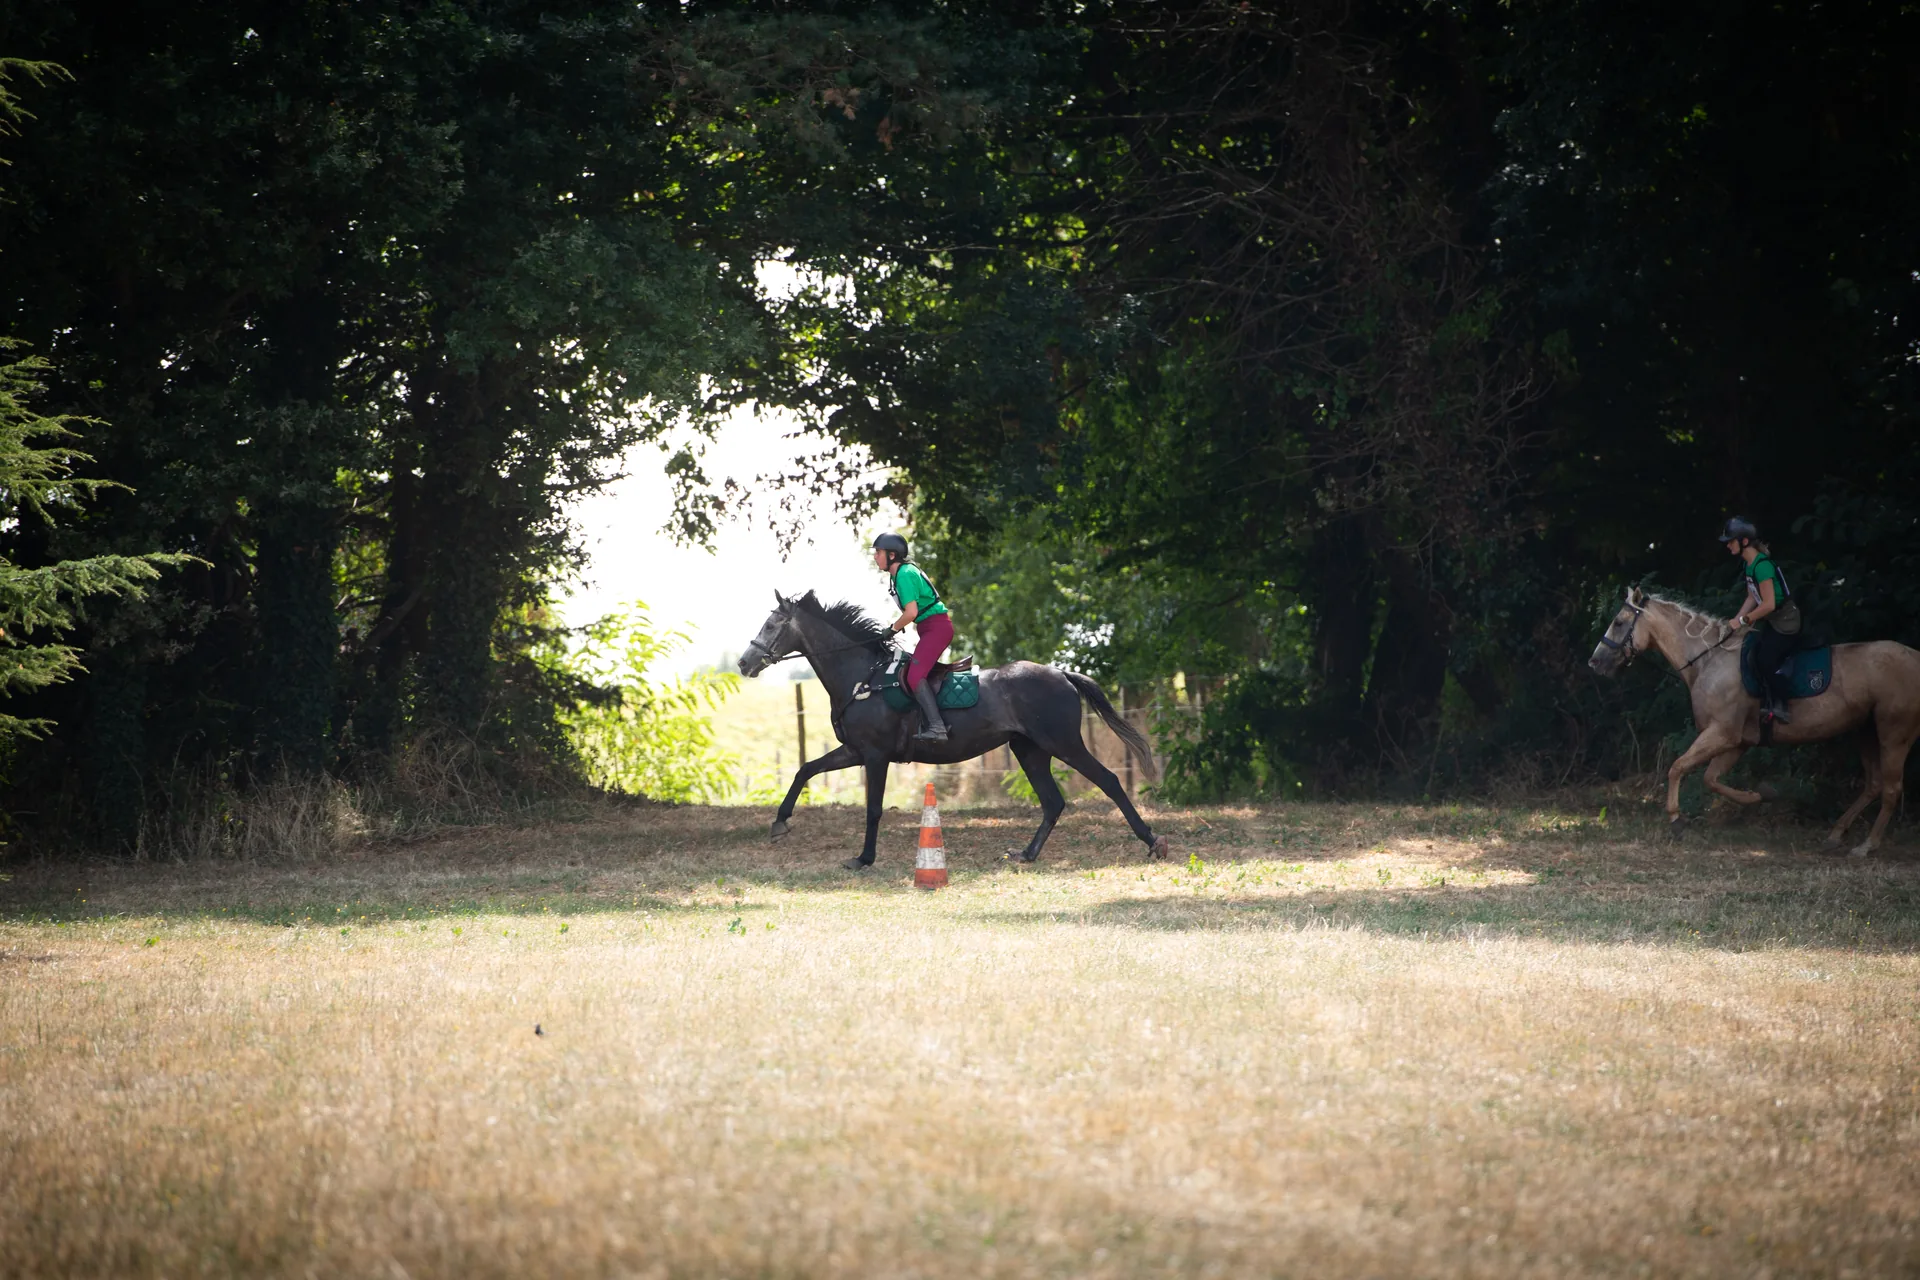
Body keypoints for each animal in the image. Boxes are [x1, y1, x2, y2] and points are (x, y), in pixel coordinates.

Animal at [737, 591, 1172, 869]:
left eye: (772, 624)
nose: (744, 663)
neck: (862, 677)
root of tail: (1061, 673)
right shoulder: (855, 752)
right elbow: (805, 770)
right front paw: (780, 823)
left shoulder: (876, 756)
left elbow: (873, 809)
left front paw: (863, 859)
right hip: (1029, 750)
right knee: (1053, 802)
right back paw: (1027, 855)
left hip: (1062, 742)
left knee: (1108, 781)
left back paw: (1153, 843)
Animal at [1588, 586, 1920, 855]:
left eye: (1619, 622)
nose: (1595, 662)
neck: (1709, 659)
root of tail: (1915, 657)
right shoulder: (1737, 742)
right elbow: (1711, 779)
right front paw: (1759, 796)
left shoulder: (1721, 733)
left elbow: (1677, 767)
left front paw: (1676, 821)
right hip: (1865, 731)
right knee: (1874, 785)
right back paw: (1836, 835)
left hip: (1894, 734)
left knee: (1891, 789)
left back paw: (1866, 846)